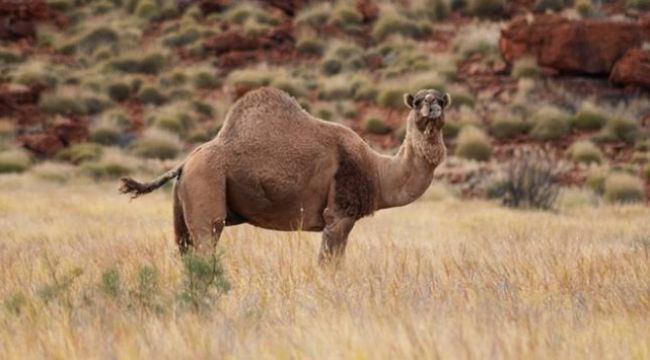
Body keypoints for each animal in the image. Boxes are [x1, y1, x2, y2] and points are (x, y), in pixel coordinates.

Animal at [119, 87, 448, 262]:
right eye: (418, 101)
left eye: (442, 100)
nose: (432, 107)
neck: (378, 172)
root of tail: (185, 163)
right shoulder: (339, 215)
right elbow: (329, 265)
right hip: (206, 190)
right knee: (205, 246)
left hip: (182, 207)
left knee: (185, 251)